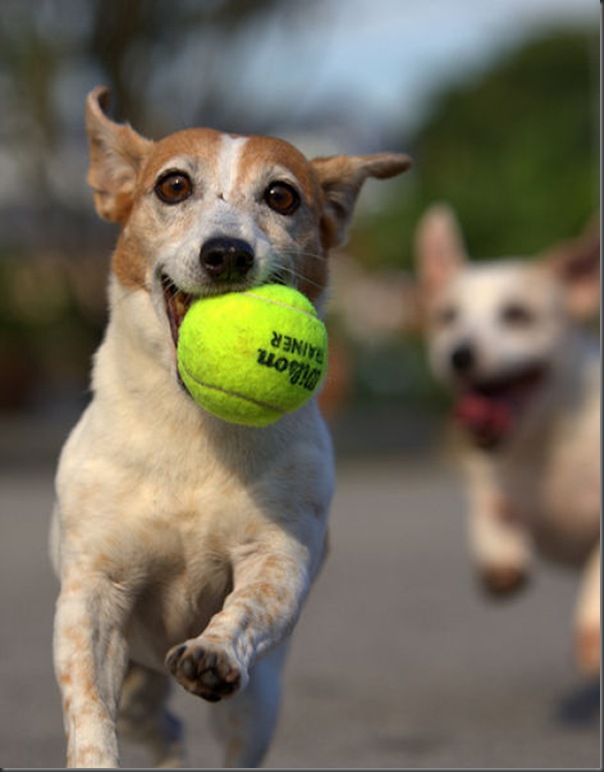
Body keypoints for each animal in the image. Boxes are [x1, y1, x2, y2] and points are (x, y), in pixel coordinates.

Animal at [50, 83, 410, 764]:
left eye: (281, 195)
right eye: (172, 185)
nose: (225, 252)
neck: (194, 432)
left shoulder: (280, 555)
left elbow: (249, 604)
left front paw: (214, 651)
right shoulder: (93, 592)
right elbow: (87, 706)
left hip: (257, 706)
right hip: (136, 683)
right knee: (153, 725)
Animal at [416, 204, 600, 676]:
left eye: (517, 314)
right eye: (447, 316)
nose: (460, 354)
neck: (543, 442)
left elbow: (598, 571)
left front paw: (591, 631)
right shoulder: (489, 478)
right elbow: (491, 510)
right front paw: (500, 559)